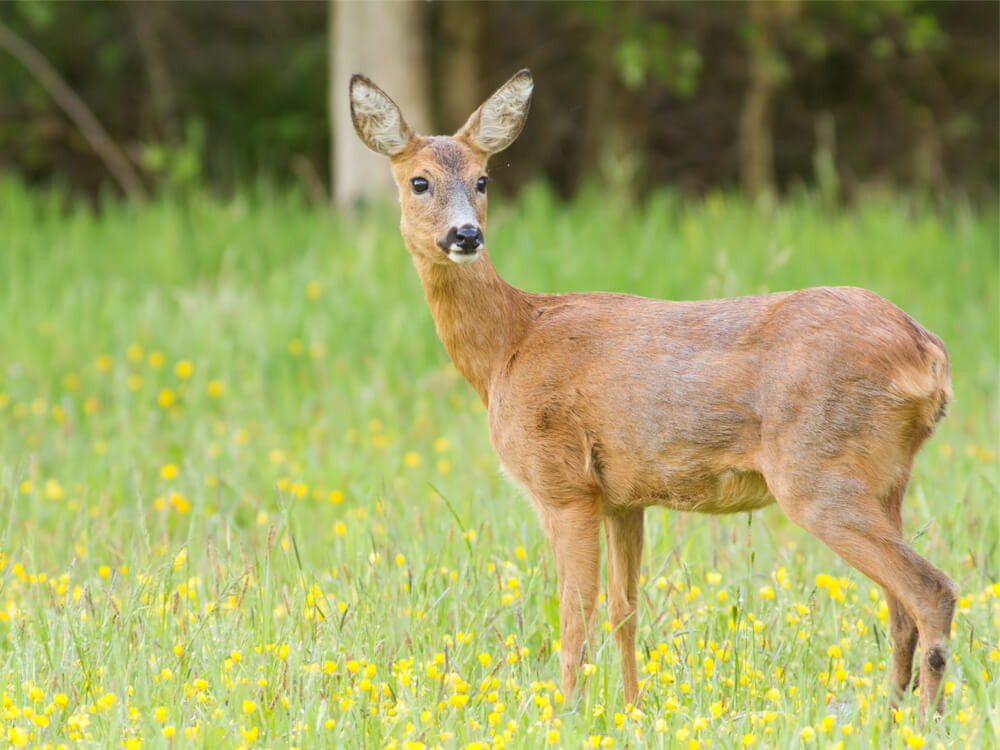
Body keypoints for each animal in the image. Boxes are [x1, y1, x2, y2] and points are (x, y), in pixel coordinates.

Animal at [348, 72, 956, 724]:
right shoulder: (622, 498)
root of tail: (928, 354)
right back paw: (891, 716)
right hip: (886, 478)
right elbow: (624, 613)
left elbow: (575, 618)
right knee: (900, 610)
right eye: (420, 181)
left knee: (931, 591)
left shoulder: (564, 483)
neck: (510, 344)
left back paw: (923, 722)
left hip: (818, 469)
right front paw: (634, 711)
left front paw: (567, 716)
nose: (466, 234)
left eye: (483, 179)